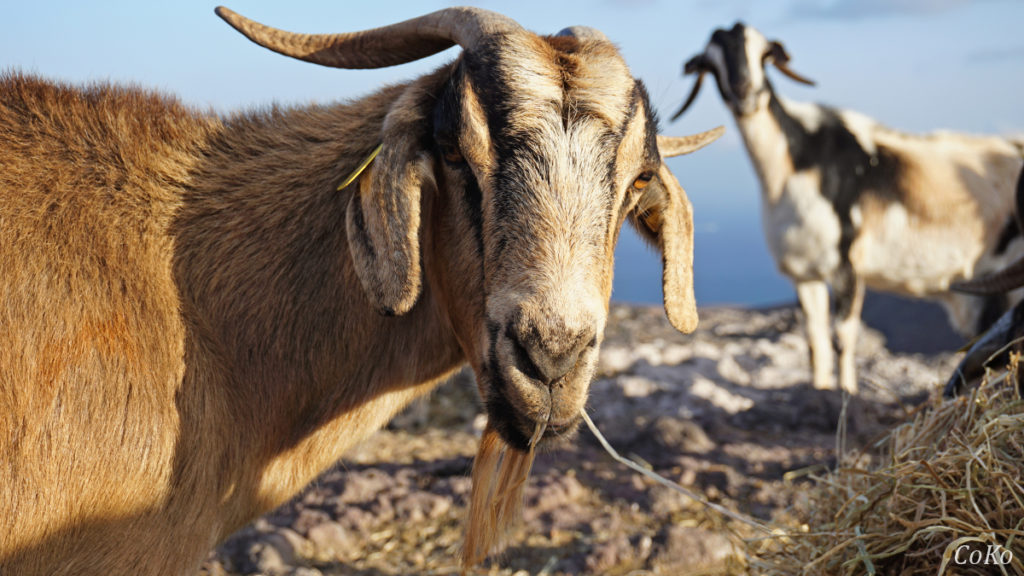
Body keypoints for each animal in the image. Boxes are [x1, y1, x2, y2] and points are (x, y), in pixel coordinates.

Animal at [671, 21, 1024, 389]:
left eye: (764, 54)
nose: (744, 93)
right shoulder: (804, 273)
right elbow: (815, 341)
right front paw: (820, 388)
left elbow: (842, 337)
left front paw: (846, 391)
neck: (795, 164)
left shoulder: (847, 266)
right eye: (711, 64)